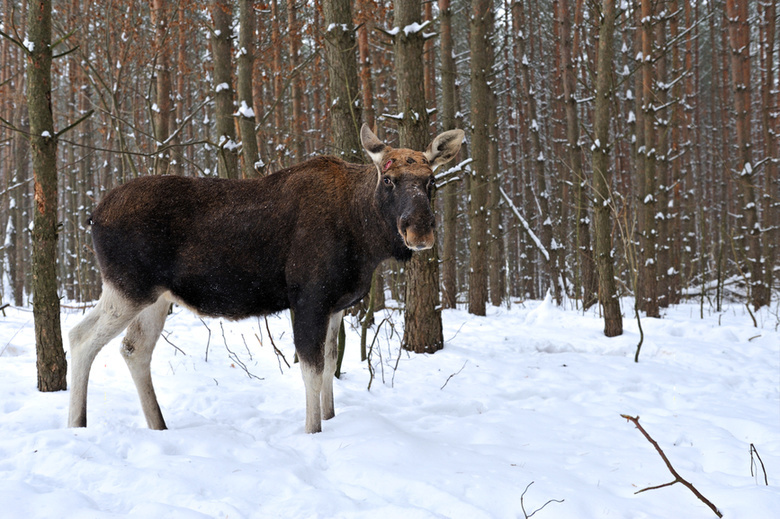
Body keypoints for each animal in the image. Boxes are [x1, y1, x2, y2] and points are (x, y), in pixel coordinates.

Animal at [67, 126, 464, 434]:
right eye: (389, 179)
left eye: (431, 181)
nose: (420, 230)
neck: (365, 236)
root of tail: (92, 216)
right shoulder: (308, 297)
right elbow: (312, 369)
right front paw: (313, 430)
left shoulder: (338, 304)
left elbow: (330, 363)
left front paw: (330, 418)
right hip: (128, 287)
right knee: (80, 337)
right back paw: (77, 424)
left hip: (158, 297)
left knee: (134, 349)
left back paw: (158, 425)